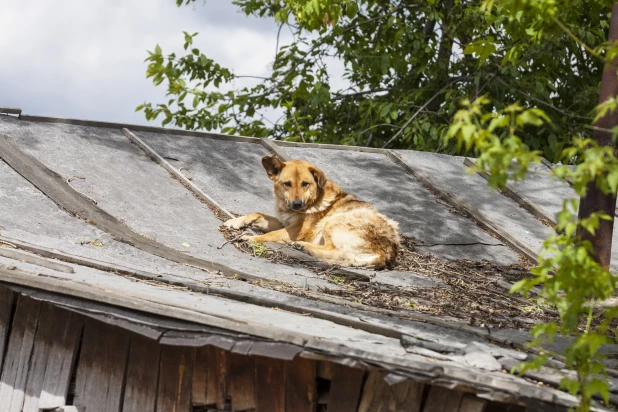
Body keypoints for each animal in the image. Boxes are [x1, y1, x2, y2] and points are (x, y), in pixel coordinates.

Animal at [223, 155, 400, 270]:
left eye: (305, 184)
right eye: (287, 184)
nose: (297, 204)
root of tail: (387, 252)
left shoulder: (295, 230)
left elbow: (270, 235)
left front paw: (252, 238)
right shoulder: (283, 222)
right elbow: (257, 213)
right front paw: (235, 221)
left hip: (333, 221)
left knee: (334, 250)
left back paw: (303, 247)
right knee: (342, 255)